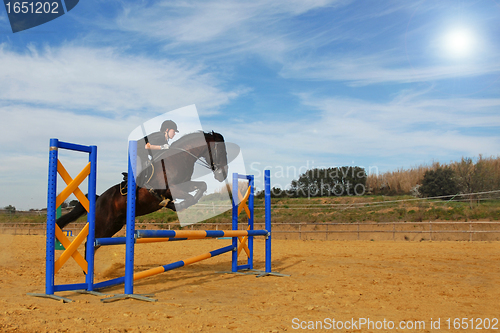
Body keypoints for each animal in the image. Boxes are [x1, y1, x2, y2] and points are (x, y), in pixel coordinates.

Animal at [56, 131, 229, 240]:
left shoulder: (182, 185)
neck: (178, 159)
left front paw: (179, 204)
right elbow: (187, 196)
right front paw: (178, 204)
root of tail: (98, 199)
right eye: (221, 151)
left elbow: (202, 186)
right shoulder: (170, 189)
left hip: (114, 226)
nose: (223, 175)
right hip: (104, 224)